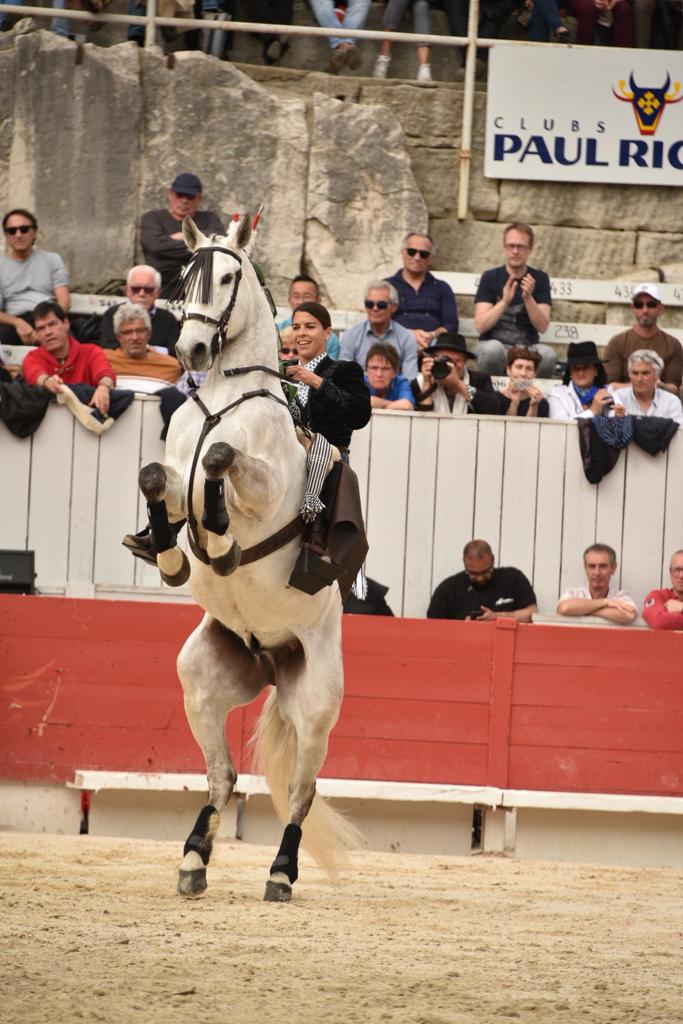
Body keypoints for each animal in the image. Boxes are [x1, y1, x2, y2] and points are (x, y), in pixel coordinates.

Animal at [135, 213, 360, 902]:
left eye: (229, 278)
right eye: (184, 277)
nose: (191, 352)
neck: (226, 399)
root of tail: (272, 658)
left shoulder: (261, 487)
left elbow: (221, 460)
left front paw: (220, 542)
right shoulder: (170, 475)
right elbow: (160, 478)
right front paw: (172, 556)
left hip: (317, 701)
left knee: (303, 791)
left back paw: (281, 872)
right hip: (202, 680)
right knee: (222, 775)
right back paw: (192, 858)